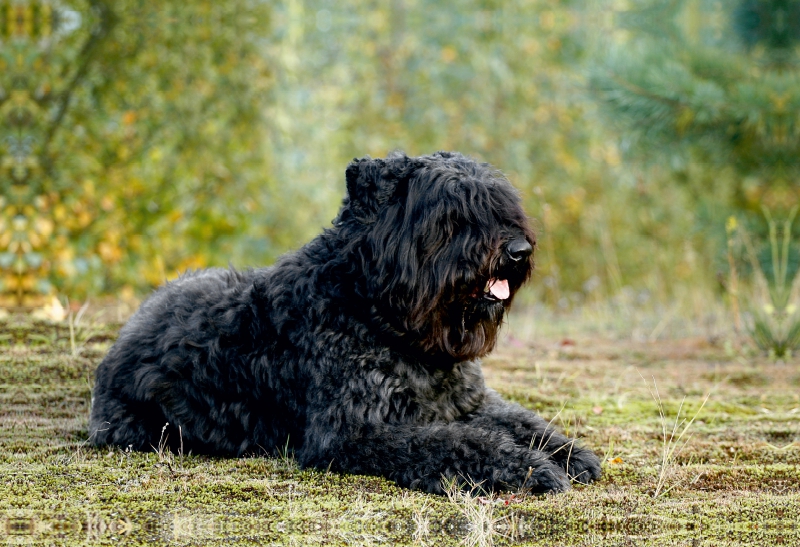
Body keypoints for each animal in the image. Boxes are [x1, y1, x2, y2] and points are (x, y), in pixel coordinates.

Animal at [89, 152, 600, 494]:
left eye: (500, 203)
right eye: (451, 215)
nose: (518, 250)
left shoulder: (467, 401)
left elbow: (521, 420)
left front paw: (570, 453)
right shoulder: (355, 433)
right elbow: (461, 444)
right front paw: (531, 469)